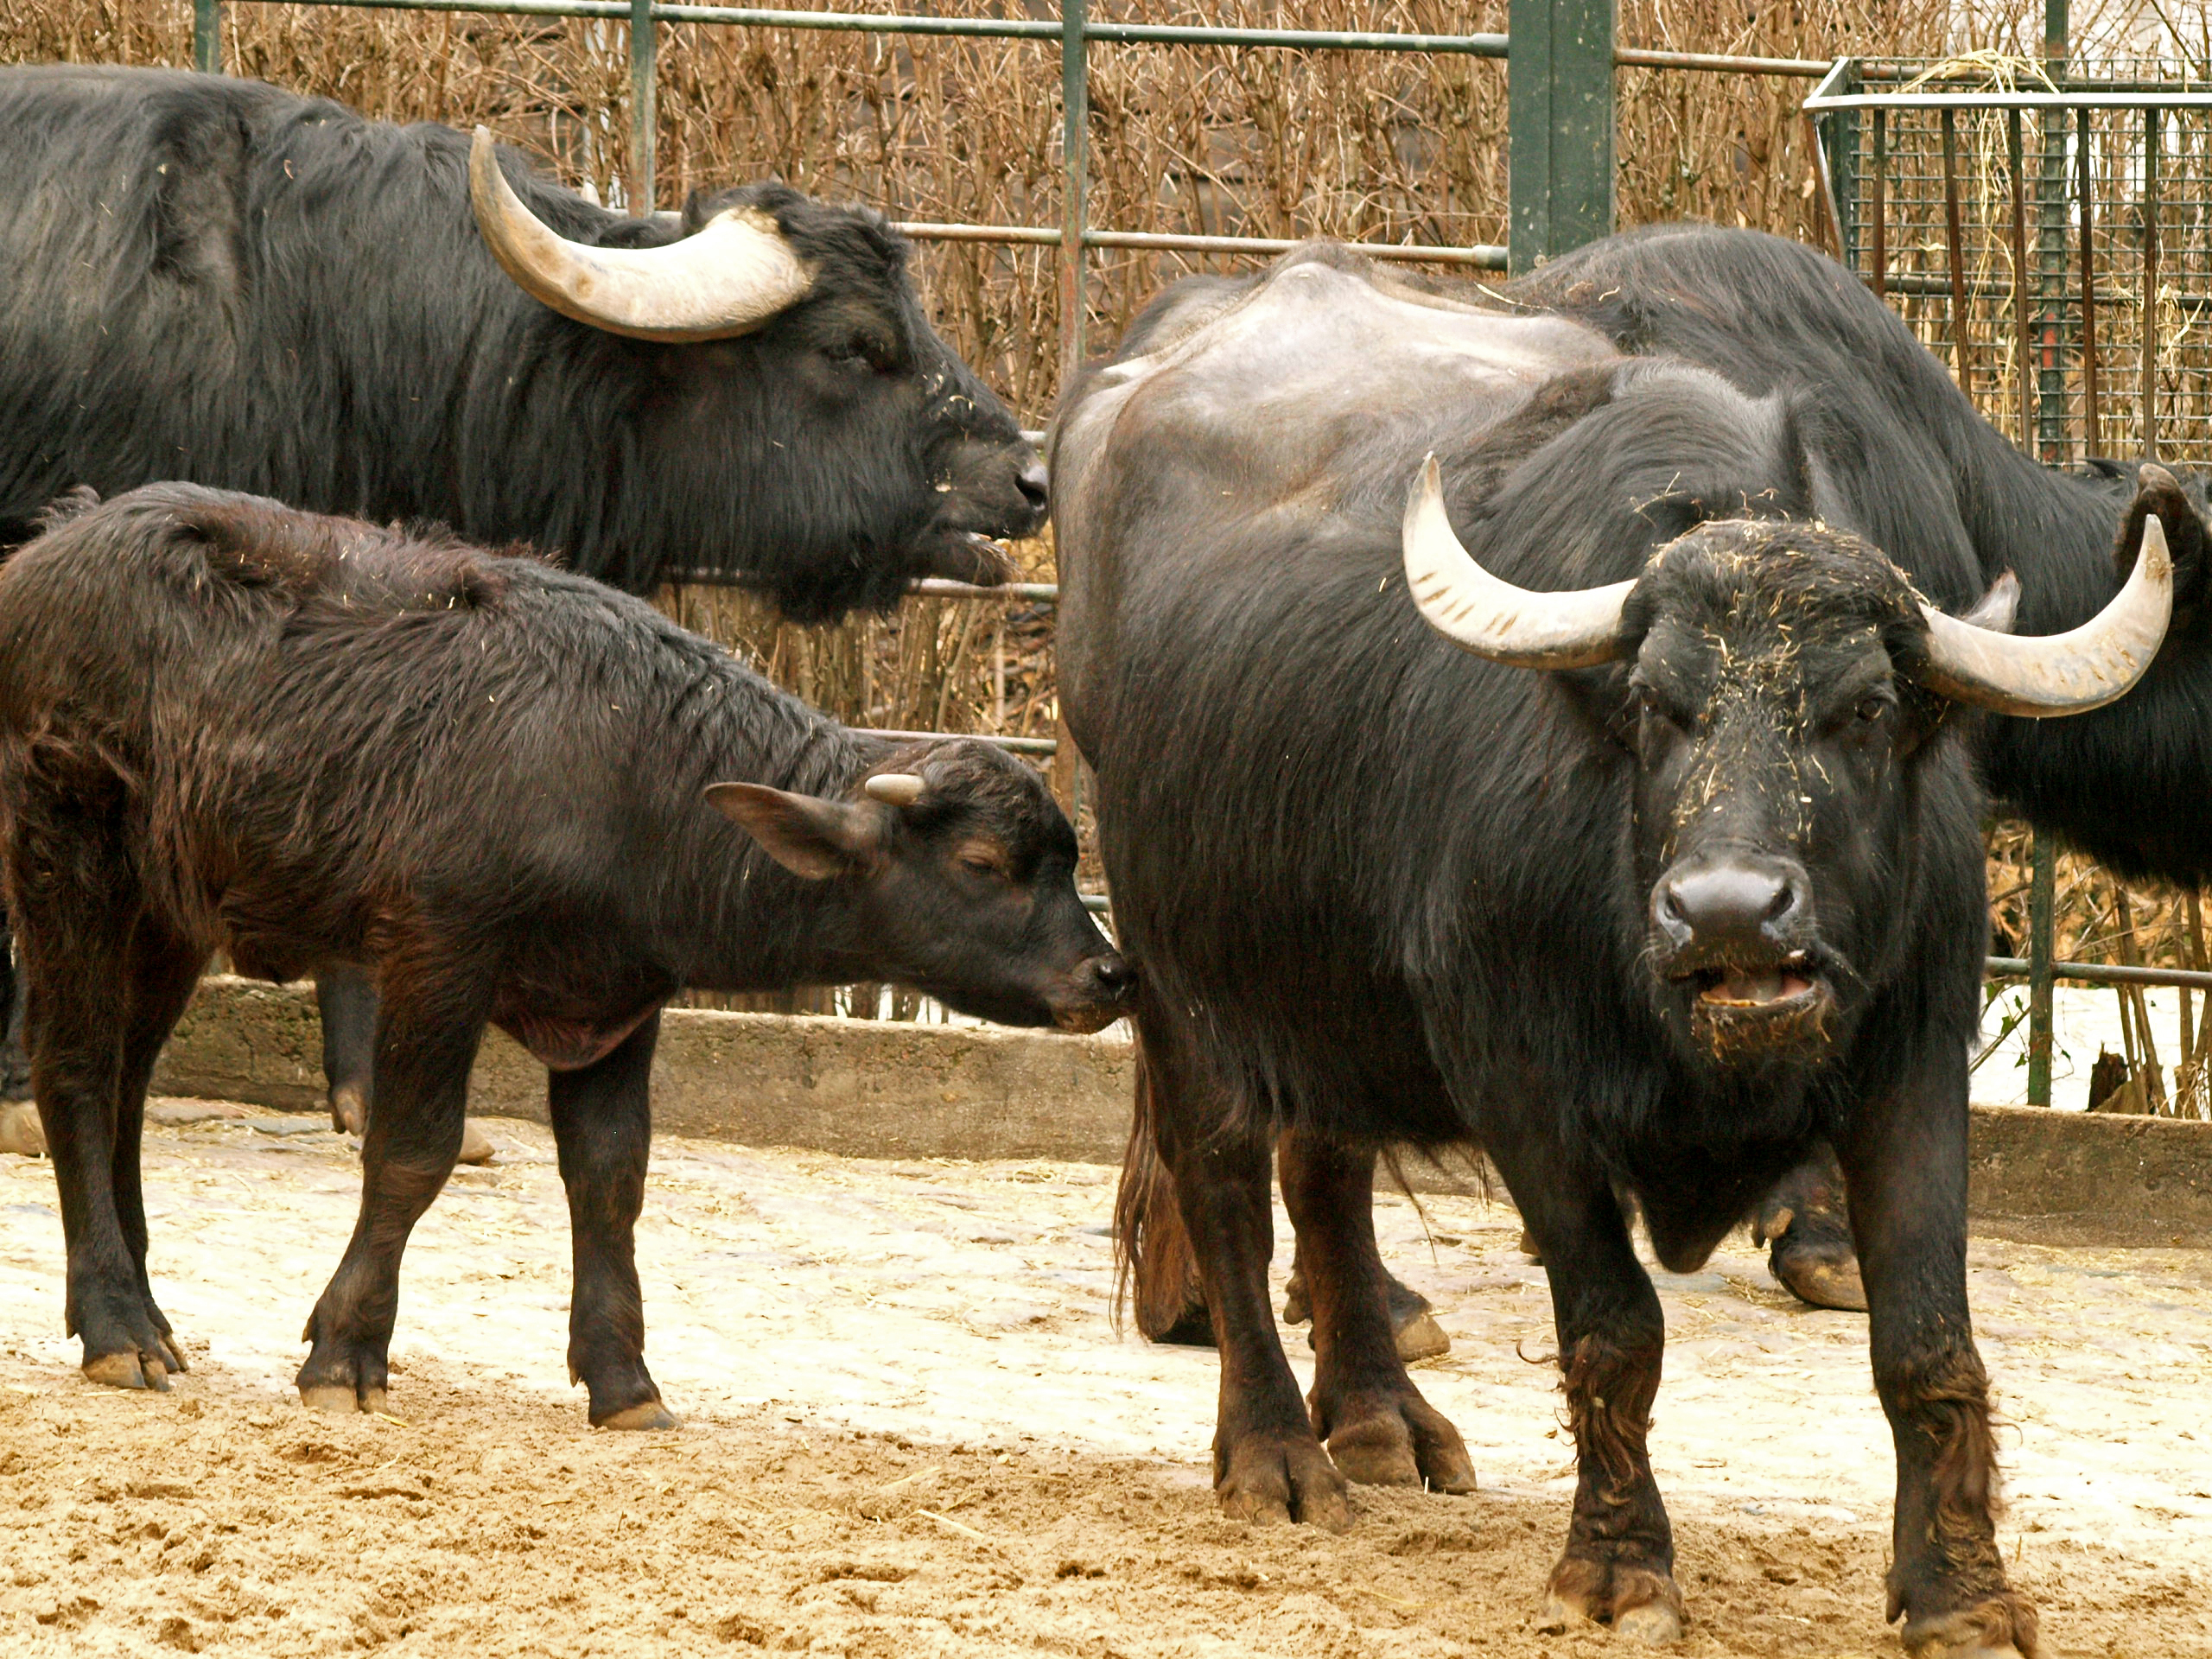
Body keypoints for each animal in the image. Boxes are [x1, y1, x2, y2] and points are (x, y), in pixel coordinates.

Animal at [0, 484, 1130, 1425]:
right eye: (984, 863)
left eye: (1069, 860)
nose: (1109, 976)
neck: (632, 773)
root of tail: (47, 551)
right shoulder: (438, 957)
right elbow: (413, 1151)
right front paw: (347, 1351)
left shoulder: (619, 1001)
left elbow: (609, 1175)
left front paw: (624, 1379)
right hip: (68, 862)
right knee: (74, 1071)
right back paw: (117, 1327)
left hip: (170, 914)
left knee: (127, 1086)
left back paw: (142, 1313)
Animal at [1052, 244, 2176, 1652]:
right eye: (1655, 705)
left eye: (1866, 710)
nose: (1731, 911)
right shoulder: (1522, 1085)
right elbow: (1613, 1329)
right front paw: (1619, 1568)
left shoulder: (1912, 1062)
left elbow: (1928, 1341)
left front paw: (1961, 1594)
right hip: (1174, 954)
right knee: (1224, 1191)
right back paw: (1275, 1458)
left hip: (1330, 980)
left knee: (1327, 1172)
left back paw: (1380, 1420)